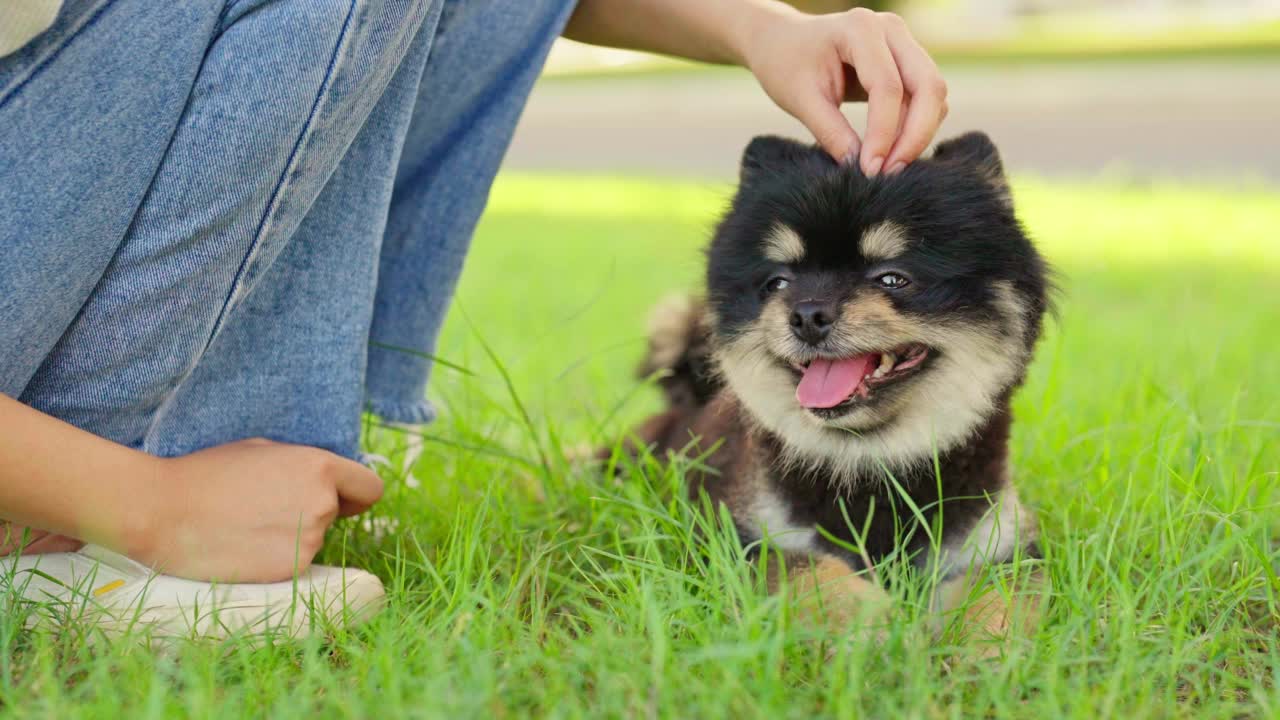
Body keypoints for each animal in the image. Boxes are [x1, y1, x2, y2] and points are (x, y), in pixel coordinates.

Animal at [616, 131, 1049, 635]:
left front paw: (980, 647)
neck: (871, 463)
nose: (806, 314)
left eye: (893, 278)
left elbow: (1000, 599)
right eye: (778, 283)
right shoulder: (739, 538)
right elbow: (810, 571)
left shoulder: (998, 546)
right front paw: (874, 626)